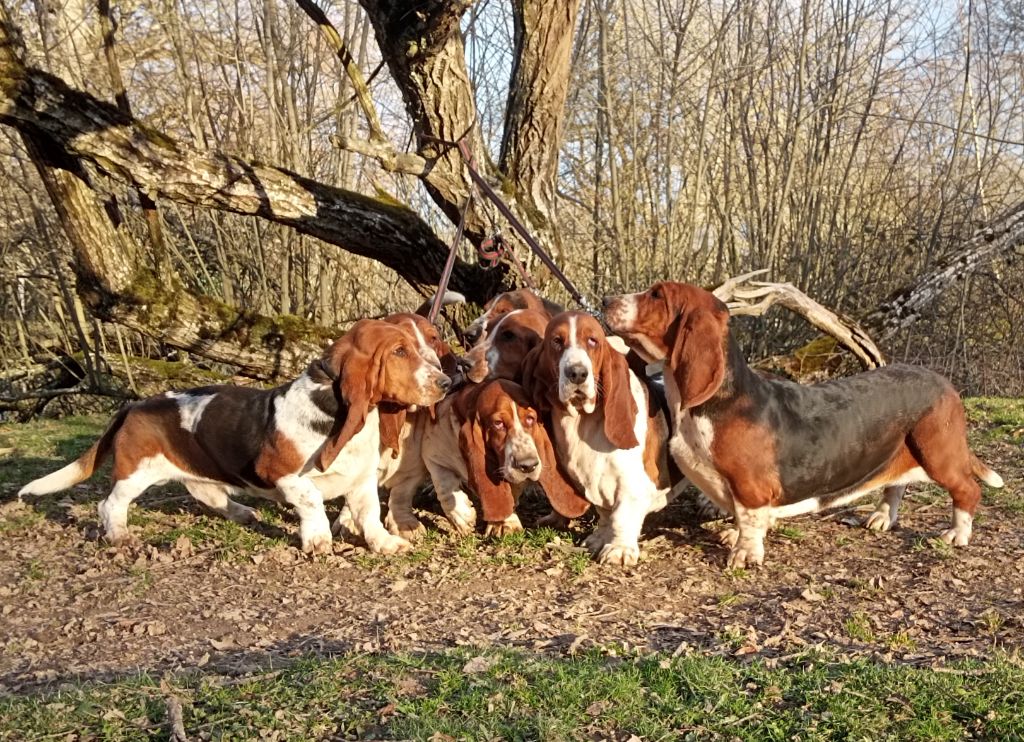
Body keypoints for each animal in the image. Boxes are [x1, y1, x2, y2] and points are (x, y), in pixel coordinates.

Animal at [520, 309, 679, 564]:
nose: (577, 373)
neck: (583, 421)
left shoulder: (632, 484)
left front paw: (620, 549)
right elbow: (605, 514)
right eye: (557, 341)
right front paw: (599, 539)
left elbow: (622, 516)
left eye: (593, 341)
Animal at [602, 278, 1003, 569]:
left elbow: (750, 519)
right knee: (895, 486)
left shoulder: (751, 487)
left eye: (657, 294)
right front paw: (734, 535)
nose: (605, 300)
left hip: (939, 454)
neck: (719, 400)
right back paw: (881, 517)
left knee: (967, 490)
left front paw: (744, 554)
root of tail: (944, 383)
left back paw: (956, 535)